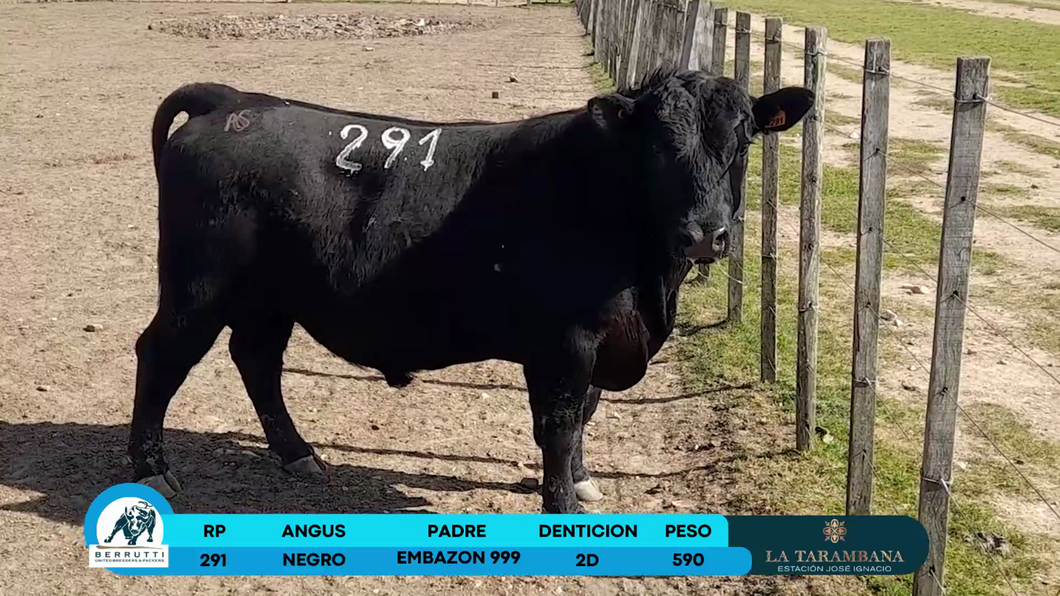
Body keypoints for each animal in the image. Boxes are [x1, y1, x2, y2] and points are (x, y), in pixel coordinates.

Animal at [132, 69, 809, 511]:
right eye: (659, 145)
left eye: (744, 140)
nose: (705, 234)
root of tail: (234, 100)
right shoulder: (566, 341)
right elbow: (560, 421)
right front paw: (560, 506)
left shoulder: (596, 341)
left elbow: (584, 415)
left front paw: (580, 482)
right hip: (197, 289)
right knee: (161, 356)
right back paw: (151, 471)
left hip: (269, 299)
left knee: (257, 361)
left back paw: (298, 455)